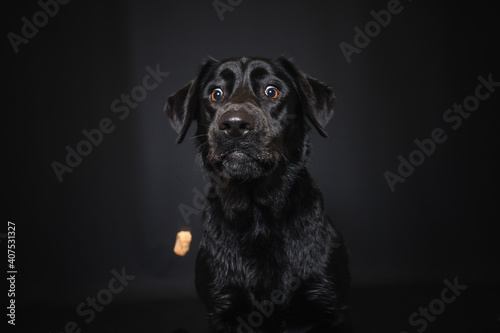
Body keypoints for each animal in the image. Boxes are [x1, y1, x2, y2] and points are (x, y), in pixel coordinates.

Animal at [166, 55, 350, 330]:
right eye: (216, 94)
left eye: (271, 91)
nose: (234, 125)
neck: (257, 215)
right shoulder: (221, 308)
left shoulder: (328, 306)